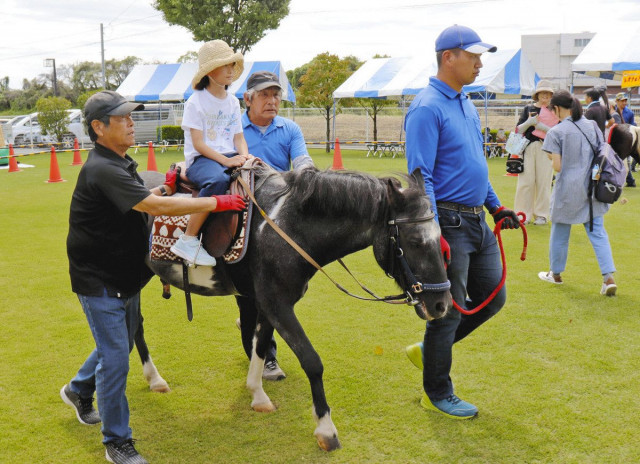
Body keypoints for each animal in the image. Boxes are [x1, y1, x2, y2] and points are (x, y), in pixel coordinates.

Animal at [142, 163, 452, 451]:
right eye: (415, 241)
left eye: (440, 237)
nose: (441, 304)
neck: (286, 227)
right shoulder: (278, 304)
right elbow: (312, 361)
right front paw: (326, 430)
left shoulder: (268, 305)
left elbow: (260, 346)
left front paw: (258, 395)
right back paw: (154, 379)